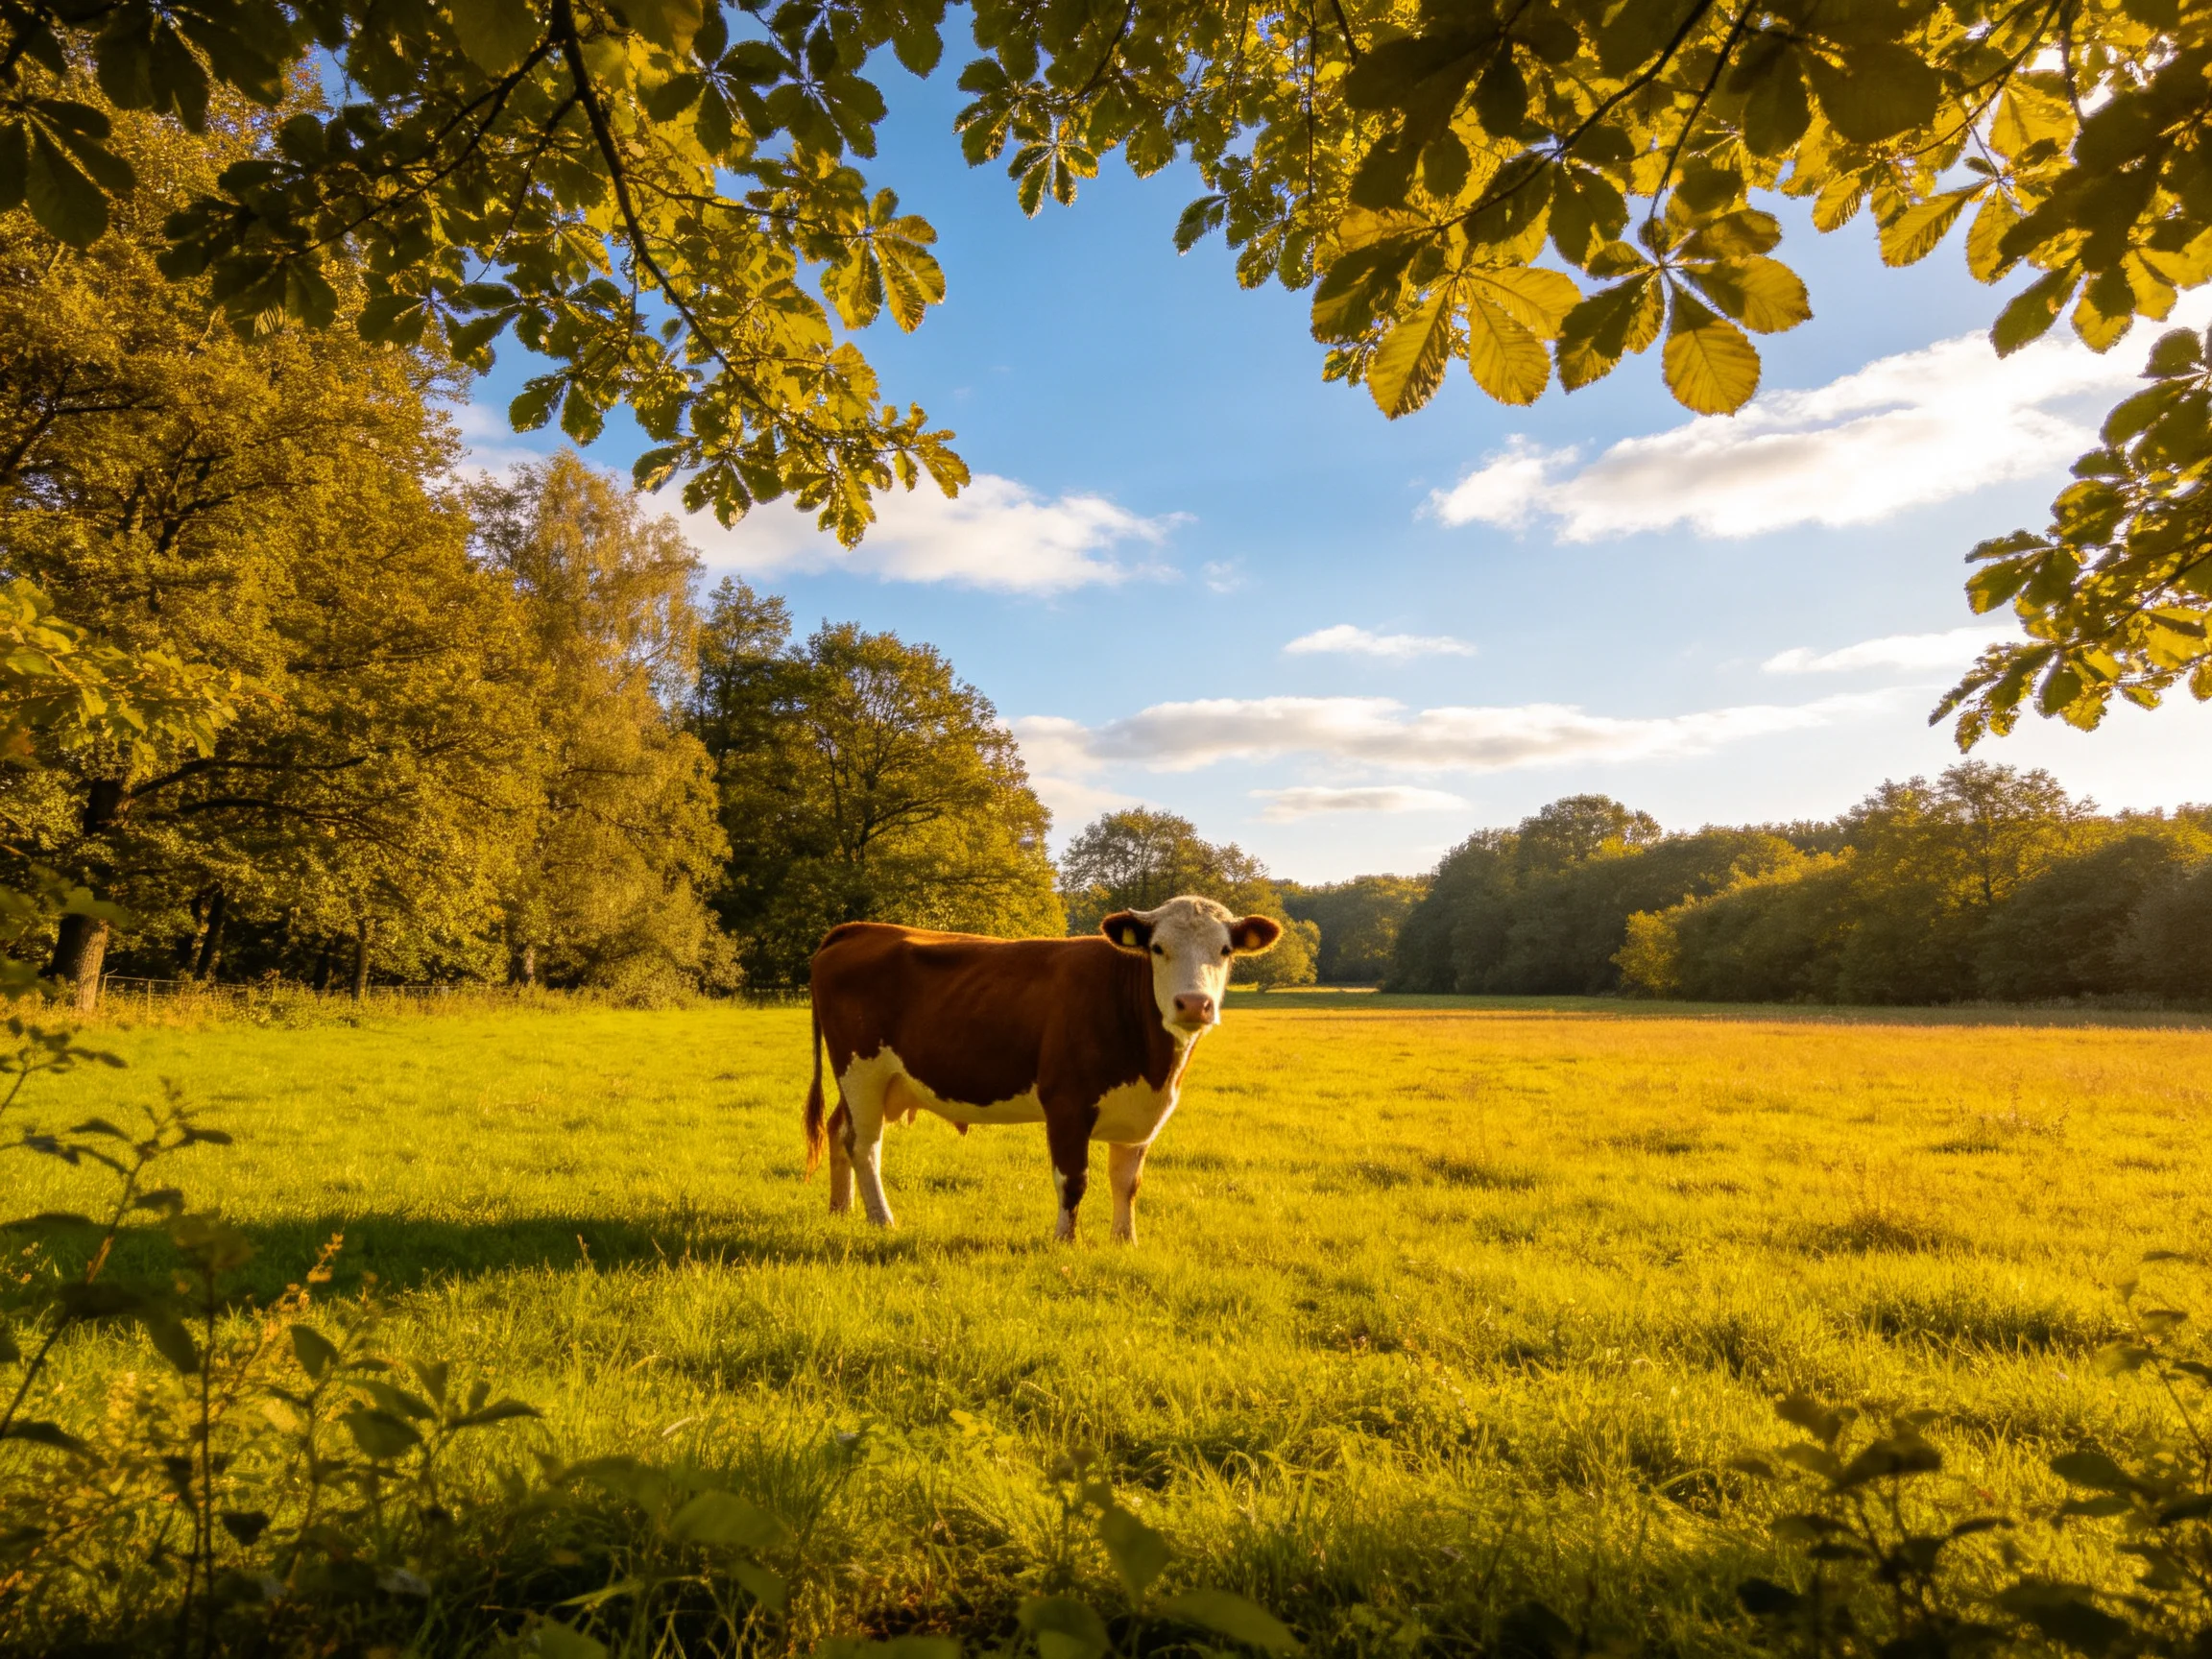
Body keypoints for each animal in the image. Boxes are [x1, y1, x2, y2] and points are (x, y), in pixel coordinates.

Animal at [802, 895, 1283, 1242]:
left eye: (1225, 950)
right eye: (1158, 948)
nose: (1194, 1004)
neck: (1154, 1065)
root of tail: (860, 929)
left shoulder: (1142, 1114)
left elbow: (1127, 1182)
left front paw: (1125, 1242)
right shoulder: (1067, 1103)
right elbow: (1073, 1180)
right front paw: (1065, 1242)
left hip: (878, 1082)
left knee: (839, 1130)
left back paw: (840, 1209)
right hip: (860, 1071)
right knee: (864, 1145)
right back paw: (882, 1220)